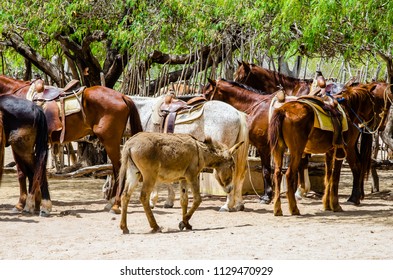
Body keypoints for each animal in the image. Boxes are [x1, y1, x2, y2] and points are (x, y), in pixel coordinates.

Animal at [0, 74, 143, 212]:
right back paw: (111, 203)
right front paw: (36, 203)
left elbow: (23, 173)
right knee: (115, 169)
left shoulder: (19, 144)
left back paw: (115, 205)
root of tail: (123, 96)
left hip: (110, 141)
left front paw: (22, 204)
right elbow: (34, 171)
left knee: (119, 169)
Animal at [266, 82, 382, 215]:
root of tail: (283, 110)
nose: (375, 121)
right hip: (297, 151)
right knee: (289, 174)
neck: (348, 111)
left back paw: (277, 209)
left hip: (278, 150)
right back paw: (294, 208)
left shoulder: (330, 151)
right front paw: (335, 205)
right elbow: (335, 177)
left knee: (277, 174)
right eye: (373, 101)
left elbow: (328, 176)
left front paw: (327, 204)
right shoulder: (341, 150)